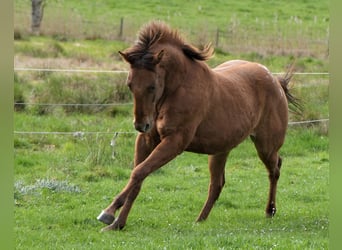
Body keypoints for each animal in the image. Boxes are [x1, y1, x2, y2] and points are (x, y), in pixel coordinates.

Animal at [96, 21, 300, 230]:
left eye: (152, 86)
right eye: (130, 84)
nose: (141, 125)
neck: (177, 89)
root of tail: (276, 81)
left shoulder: (175, 142)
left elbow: (138, 172)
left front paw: (108, 212)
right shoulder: (147, 140)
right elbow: (138, 177)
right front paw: (117, 224)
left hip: (265, 146)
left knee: (275, 169)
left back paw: (269, 210)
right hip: (220, 150)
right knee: (217, 184)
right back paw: (200, 219)